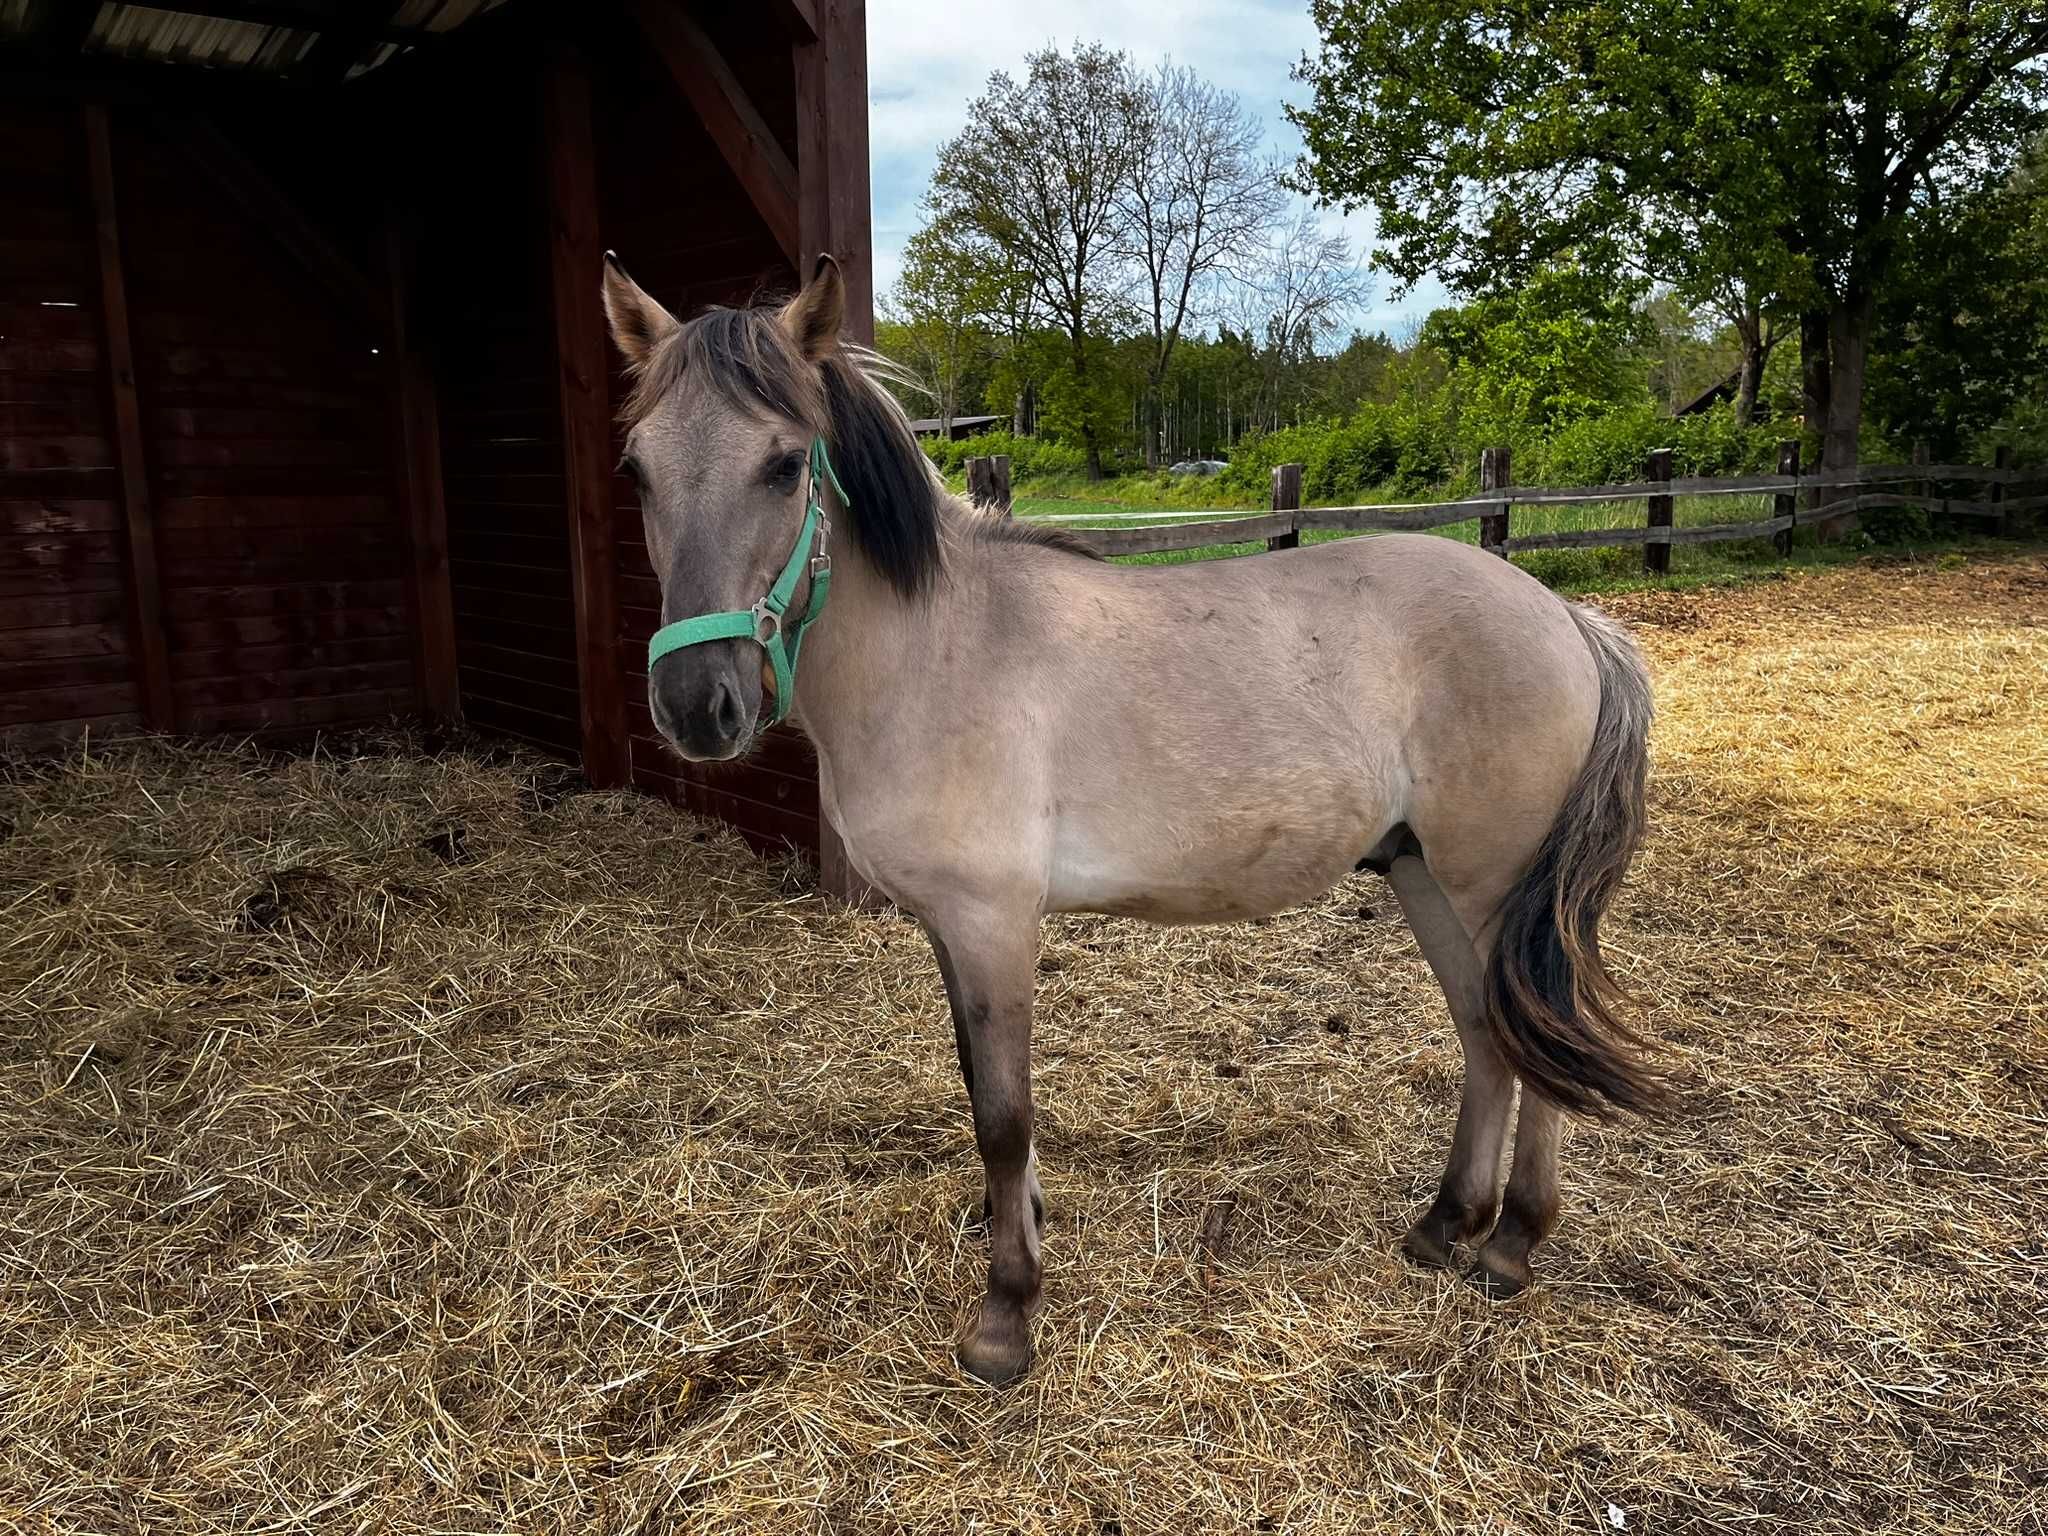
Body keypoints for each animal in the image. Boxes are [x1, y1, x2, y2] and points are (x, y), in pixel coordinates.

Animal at [598, 256, 1671, 1392]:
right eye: (636, 469)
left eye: (785, 463)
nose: (696, 705)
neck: (939, 649)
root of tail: (1565, 618)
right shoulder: (951, 929)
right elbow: (978, 1084)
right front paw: (1015, 1225)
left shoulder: (993, 923)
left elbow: (1003, 1114)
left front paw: (1006, 1313)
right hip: (1423, 875)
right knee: (1484, 1033)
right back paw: (1443, 1226)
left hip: (1487, 883)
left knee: (1525, 1030)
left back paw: (1509, 1246)